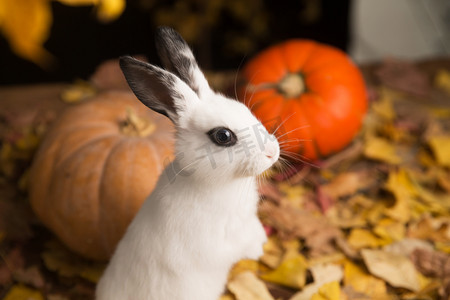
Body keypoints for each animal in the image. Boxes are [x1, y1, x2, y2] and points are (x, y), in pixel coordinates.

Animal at [96, 27, 280, 300]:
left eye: (246, 110)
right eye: (223, 136)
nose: (272, 152)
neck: (217, 183)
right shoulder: (218, 244)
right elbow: (239, 246)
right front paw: (258, 248)